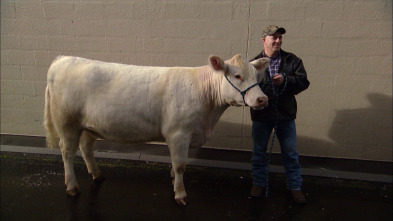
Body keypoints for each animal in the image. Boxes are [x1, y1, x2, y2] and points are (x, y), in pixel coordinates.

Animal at [43, 54, 270, 205]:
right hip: (67, 122)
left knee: (86, 148)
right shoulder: (179, 133)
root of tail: (62, 59)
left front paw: (173, 180)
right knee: (67, 152)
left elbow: (175, 164)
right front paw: (180, 194)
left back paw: (97, 174)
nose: (262, 99)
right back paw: (72, 187)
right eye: (238, 76)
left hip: (88, 125)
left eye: (258, 78)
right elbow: (180, 165)